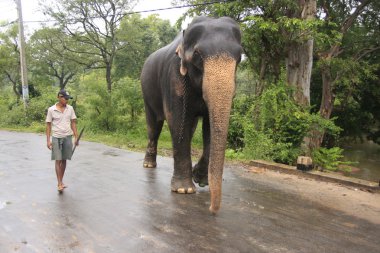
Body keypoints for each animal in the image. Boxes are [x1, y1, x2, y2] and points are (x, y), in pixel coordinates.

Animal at [141, 16, 242, 213]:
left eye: (240, 56)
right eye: (197, 54)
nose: (212, 209)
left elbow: (209, 127)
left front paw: (201, 180)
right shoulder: (174, 77)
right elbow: (177, 119)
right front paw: (184, 190)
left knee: (191, 127)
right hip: (146, 93)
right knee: (154, 127)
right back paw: (149, 165)